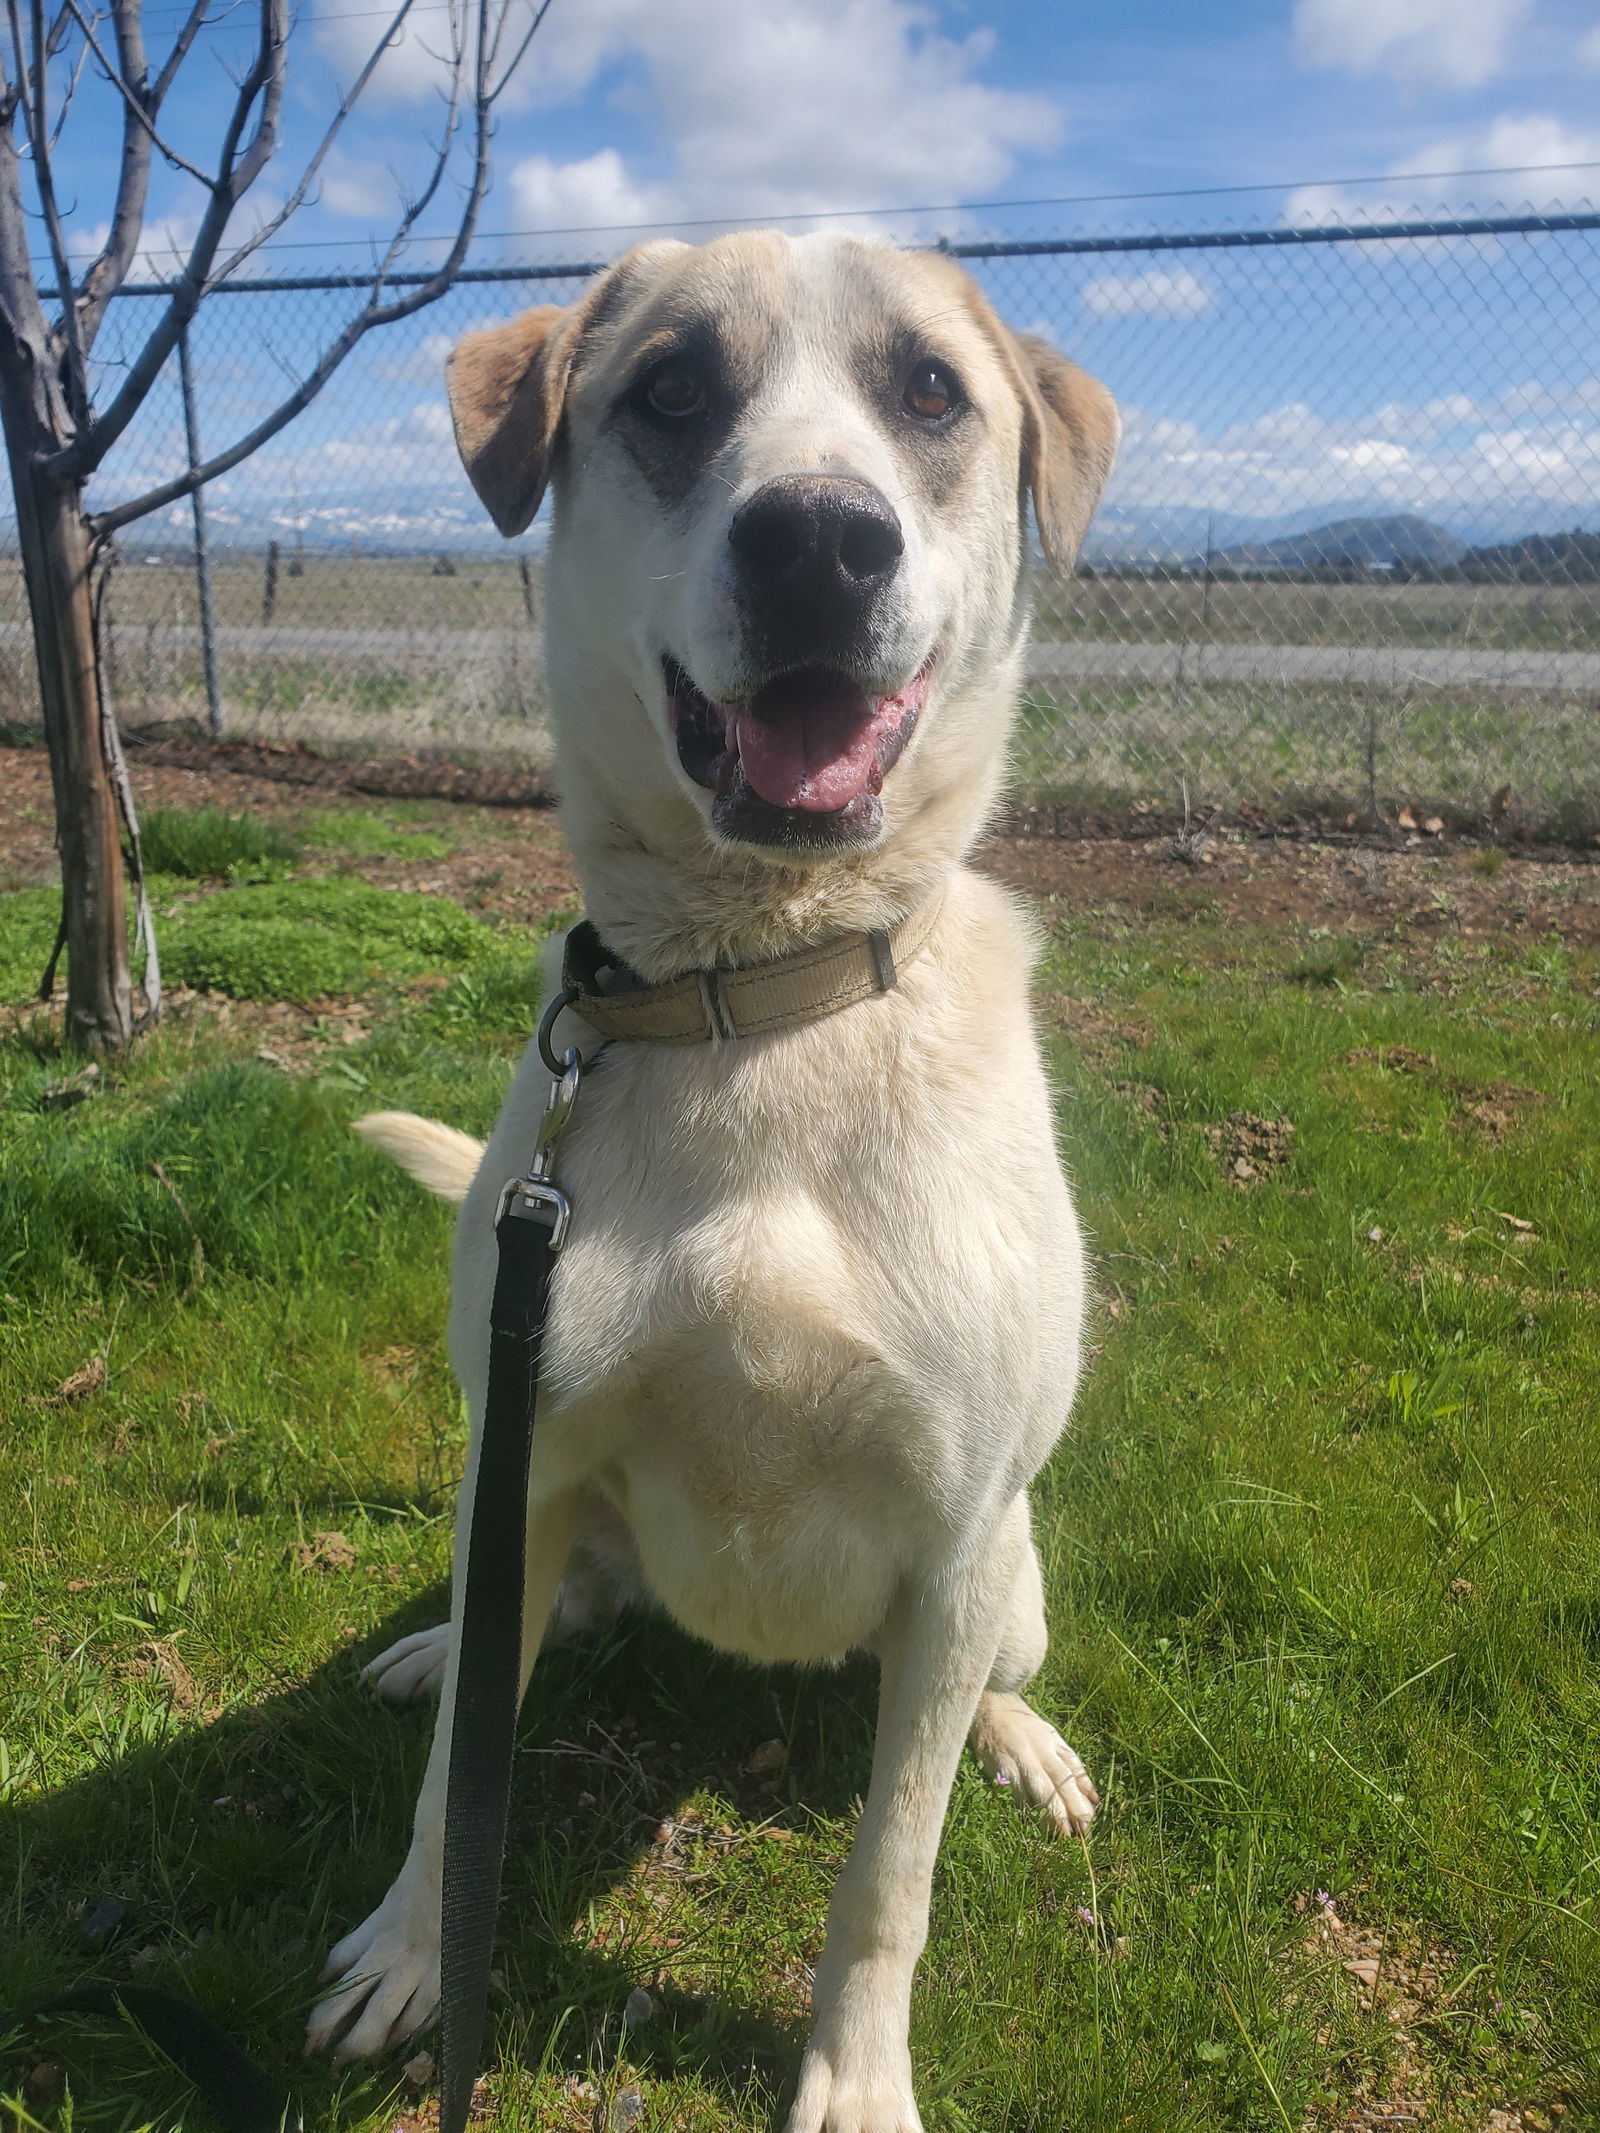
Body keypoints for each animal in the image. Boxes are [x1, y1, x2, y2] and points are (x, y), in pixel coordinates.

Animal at [309, 233, 1117, 2133]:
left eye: (930, 393)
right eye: (673, 390)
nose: (818, 539)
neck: (768, 991)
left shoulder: (955, 1540)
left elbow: (892, 1871)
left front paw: (857, 2075)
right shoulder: (526, 1451)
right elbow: (461, 1781)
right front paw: (410, 1951)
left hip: (1012, 1579)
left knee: (981, 1687)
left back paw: (1023, 1743)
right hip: (518, 1502)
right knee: (521, 1618)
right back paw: (442, 1646)